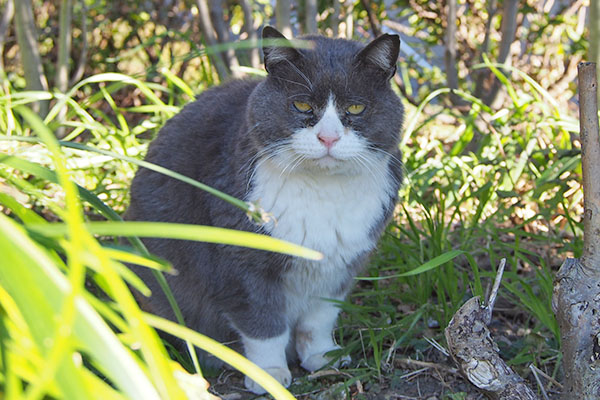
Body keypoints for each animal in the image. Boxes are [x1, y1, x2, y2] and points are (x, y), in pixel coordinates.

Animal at [127, 25, 406, 394]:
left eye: (357, 107)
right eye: (301, 104)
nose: (328, 138)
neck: (323, 192)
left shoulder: (341, 265)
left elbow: (319, 320)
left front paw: (323, 357)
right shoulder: (243, 263)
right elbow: (263, 324)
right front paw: (269, 374)